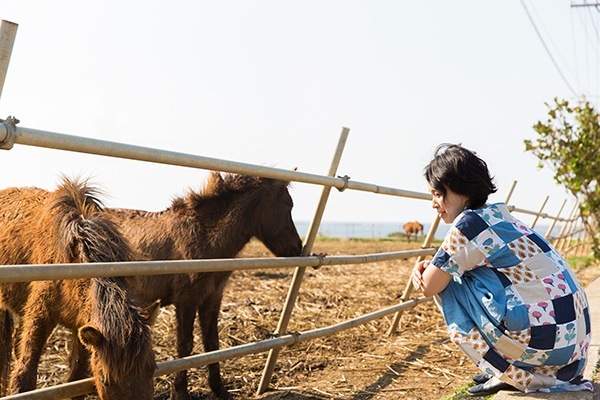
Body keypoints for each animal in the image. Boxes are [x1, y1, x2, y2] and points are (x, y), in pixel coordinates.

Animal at [0, 178, 159, 400]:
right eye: (106, 381)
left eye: (153, 368)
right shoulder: (40, 314)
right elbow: (25, 374)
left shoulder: (82, 325)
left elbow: (77, 376)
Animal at [102, 173, 304, 400]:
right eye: (288, 204)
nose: (297, 247)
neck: (205, 236)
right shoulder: (186, 300)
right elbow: (185, 345)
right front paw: (180, 392)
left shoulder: (212, 297)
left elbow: (212, 343)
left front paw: (219, 389)